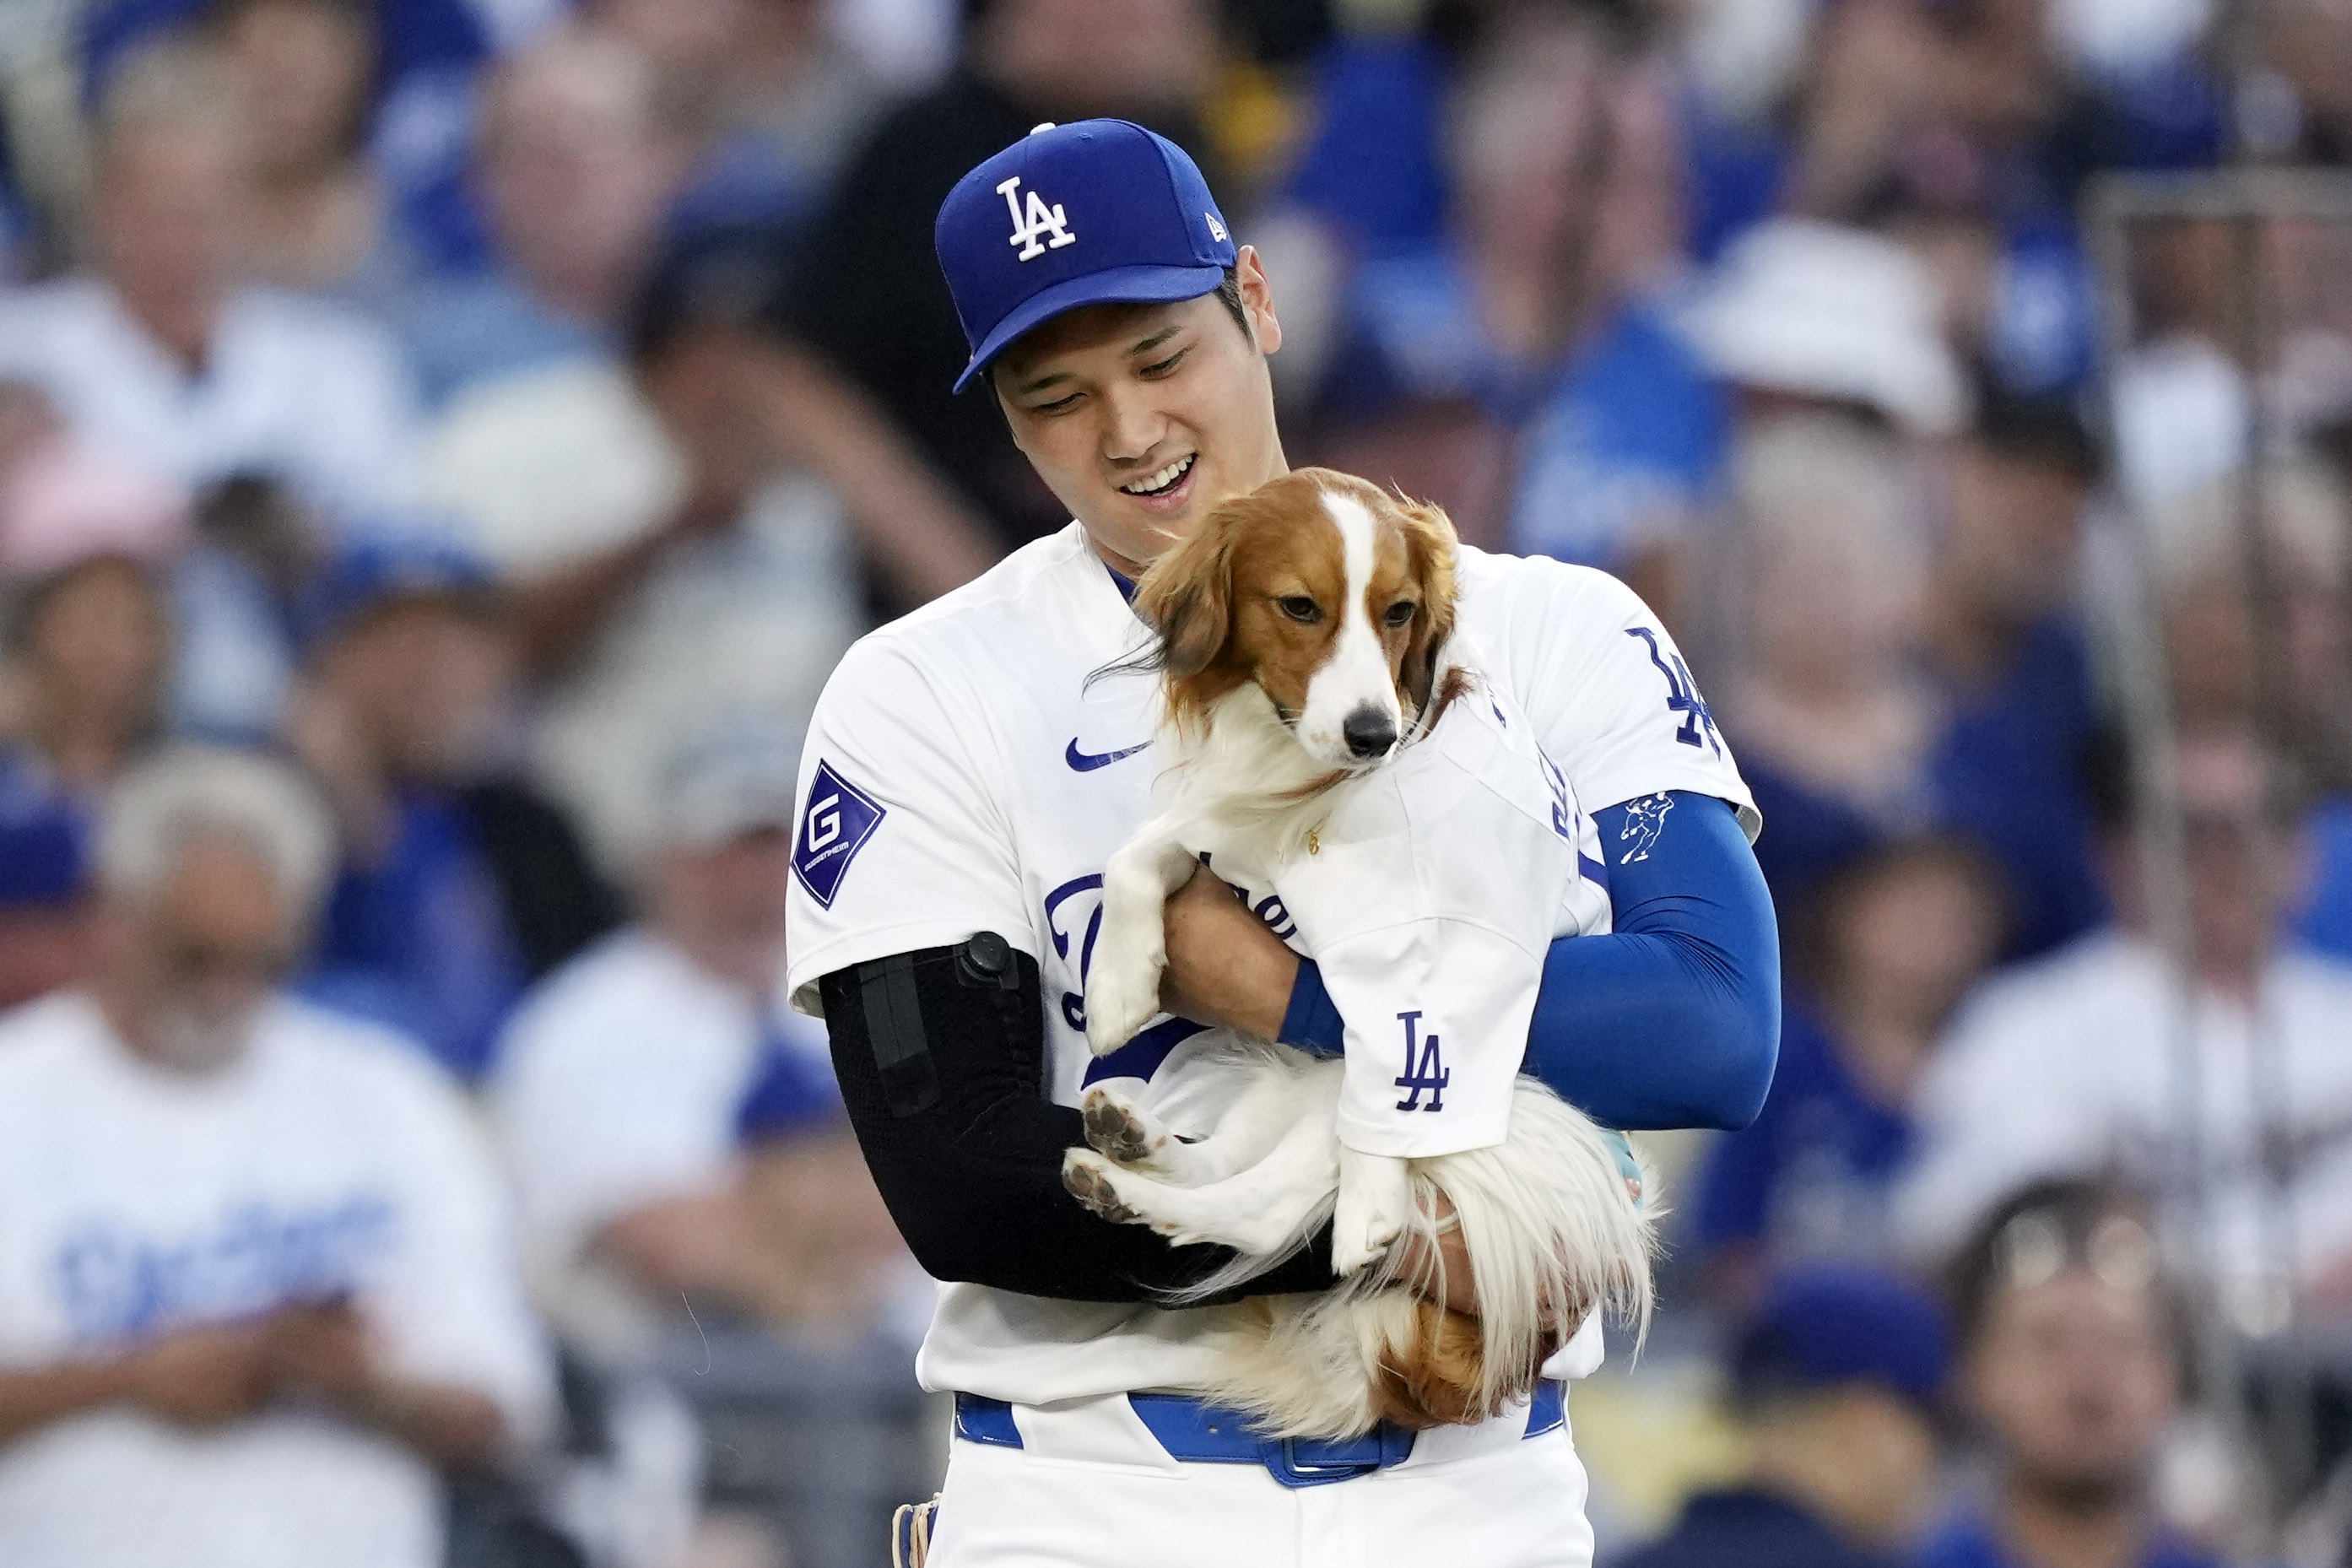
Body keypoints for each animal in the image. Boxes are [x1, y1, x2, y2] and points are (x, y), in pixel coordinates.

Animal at [1068, 470, 1656, 1447]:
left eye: (1400, 611)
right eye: (1300, 607)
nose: (1373, 732)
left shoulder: (1451, 953)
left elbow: (1404, 1057)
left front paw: (1373, 1209)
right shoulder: (1231, 829)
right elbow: (1140, 851)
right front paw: (1118, 980)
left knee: (1264, 1209)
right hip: (1290, 1081)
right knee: (1228, 1166)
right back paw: (1128, 1147)